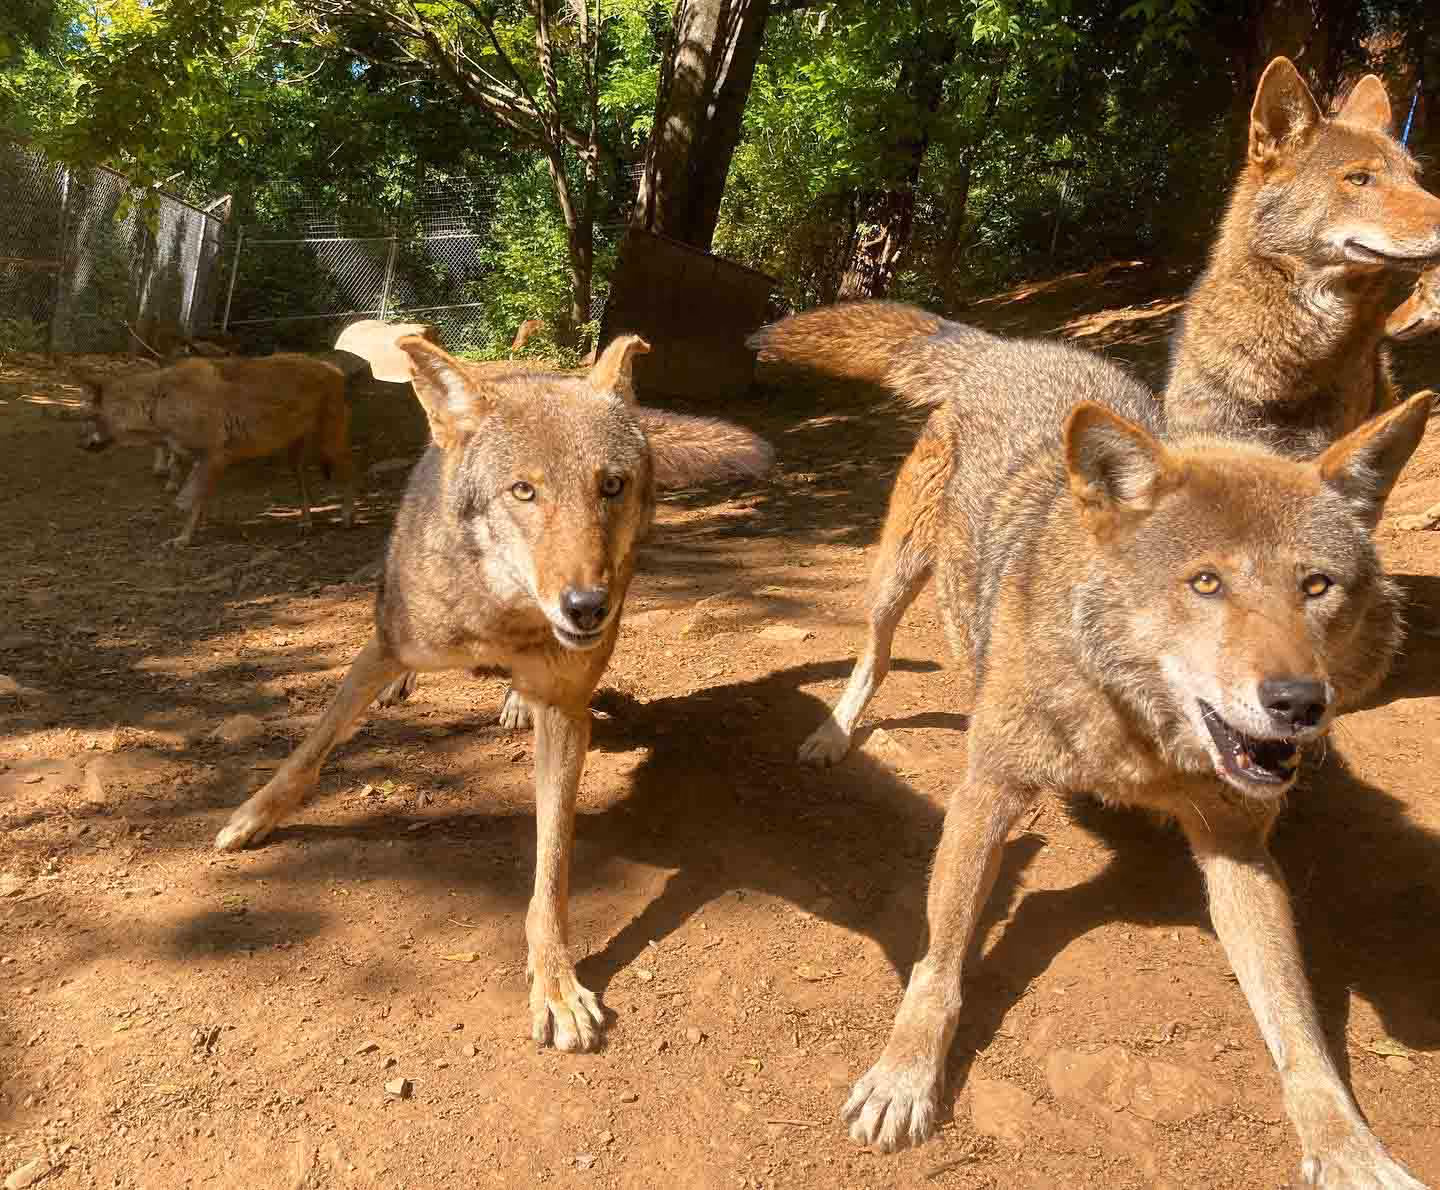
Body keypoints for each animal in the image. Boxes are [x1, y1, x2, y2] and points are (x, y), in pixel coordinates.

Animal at [76, 353, 356, 547]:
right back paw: (306, 523)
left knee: (349, 472)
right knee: (305, 485)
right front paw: (191, 535)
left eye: (89, 418)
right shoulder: (204, 461)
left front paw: (183, 537)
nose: (81, 445)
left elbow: (190, 501)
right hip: (294, 457)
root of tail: (332, 367)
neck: (159, 402)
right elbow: (199, 502)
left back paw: (347, 518)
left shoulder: (214, 457)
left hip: (329, 445)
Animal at [211, 332, 772, 1053]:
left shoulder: (566, 714)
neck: (504, 620)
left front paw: (556, 985)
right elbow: (311, 748)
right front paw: (253, 816)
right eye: (523, 491)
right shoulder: (384, 644)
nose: (587, 607)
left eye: (611, 486)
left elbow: (551, 874)